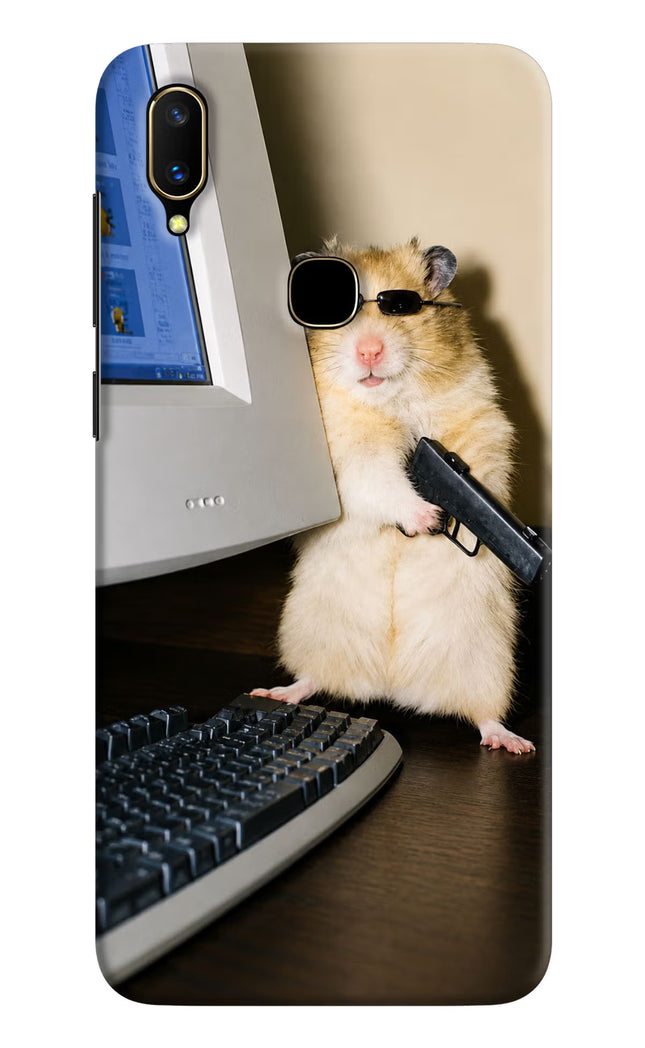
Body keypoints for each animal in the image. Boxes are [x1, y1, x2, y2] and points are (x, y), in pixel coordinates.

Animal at [252, 237, 534, 754]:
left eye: (401, 306)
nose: (368, 351)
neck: (390, 401)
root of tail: (392, 686)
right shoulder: (348, 458)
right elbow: (380, 481)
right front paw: (428, 518)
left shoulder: (481, 424)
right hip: (311, 632)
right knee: (312, 679)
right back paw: (276, 692)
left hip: (487, 660)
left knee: (484, 714)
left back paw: (513, 742)